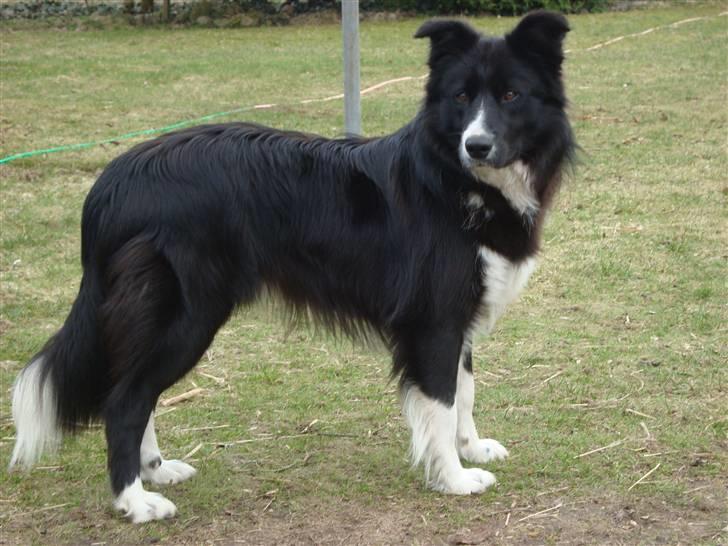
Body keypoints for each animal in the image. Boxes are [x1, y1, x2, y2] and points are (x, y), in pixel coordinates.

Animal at [8, 11, 572, 524]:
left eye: (510, 96)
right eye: (460, 98)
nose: (476, 145)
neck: (455, 176)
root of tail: (113, 181)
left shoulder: (460, 315)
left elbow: (465, 391)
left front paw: (471, 448)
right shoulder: (434, 321)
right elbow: (441, 399)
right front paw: (454, 477)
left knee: (135, 390)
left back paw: (156, 470)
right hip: (187, 315)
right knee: (124, 399)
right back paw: (136, 501)